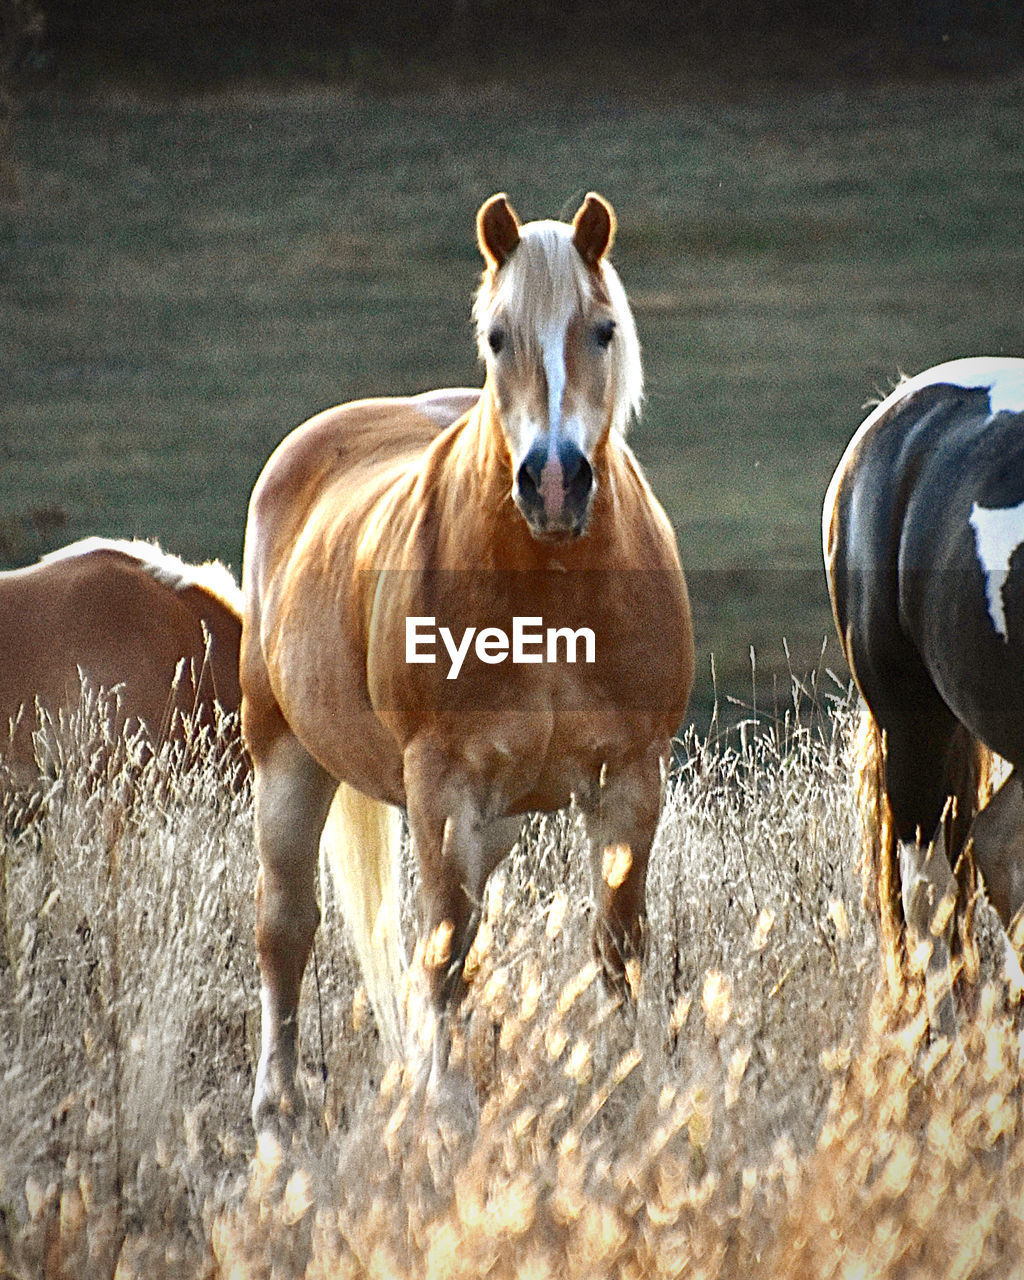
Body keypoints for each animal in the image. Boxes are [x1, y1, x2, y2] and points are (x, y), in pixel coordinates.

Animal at [240, 192, 691, 1131]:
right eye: (496, 335)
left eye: (602, 329)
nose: (553, 482)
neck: (553, 595)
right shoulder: (440, 786)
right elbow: (442, 947)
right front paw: (447, 1106)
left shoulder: (631, 779)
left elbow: (619, 946)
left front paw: (634, 1091)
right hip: (289, 760)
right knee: (287, 928)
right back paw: (278, 1107)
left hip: (495, 818)